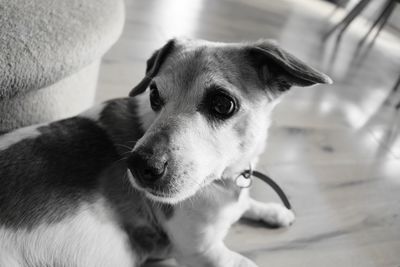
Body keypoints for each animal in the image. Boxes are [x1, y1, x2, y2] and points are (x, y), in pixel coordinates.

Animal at [0, 38, 332, 267]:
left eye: (223, 104)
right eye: (154, 95)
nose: (138, 165)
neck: (221, 181)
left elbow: (248, 203)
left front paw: (273, 211)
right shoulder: (202, 252)